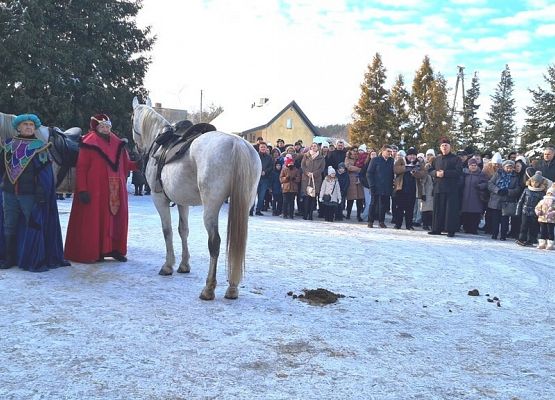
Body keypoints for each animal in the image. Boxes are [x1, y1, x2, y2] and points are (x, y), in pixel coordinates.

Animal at [131, 97, 262, 300]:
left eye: (132, 118)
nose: (136, 150)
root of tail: (237, 144)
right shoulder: (182, 202)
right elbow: (183, 230)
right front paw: (184, 265)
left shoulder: (159, 198)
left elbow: (167, 231)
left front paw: (168, 266)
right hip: (244, 204)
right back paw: (232, 288)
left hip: (211, 207)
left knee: (214, 242)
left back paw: (208, 289)